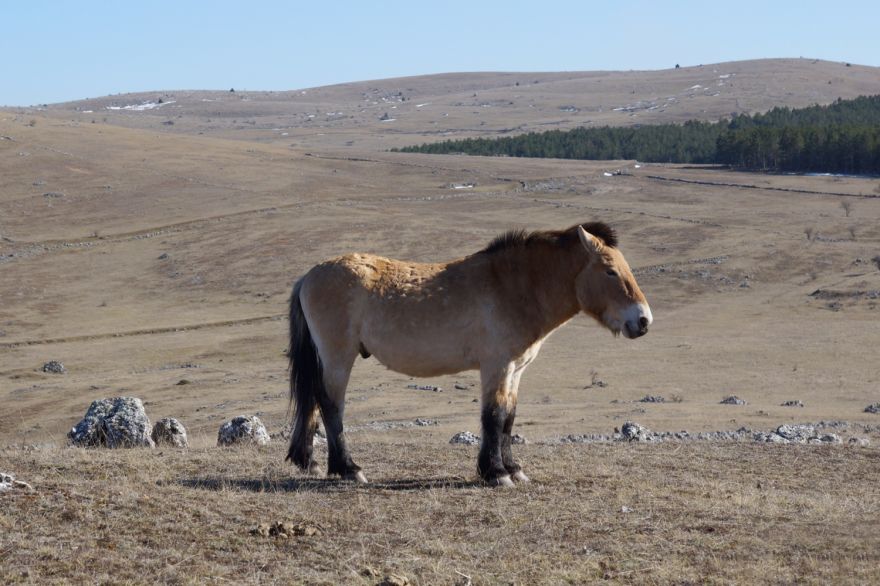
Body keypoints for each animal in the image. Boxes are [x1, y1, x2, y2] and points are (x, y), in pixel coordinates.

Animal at [286, 219, 648, 484]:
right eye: (610, 270)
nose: (643, 320)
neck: (513, 287)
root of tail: (308, 276)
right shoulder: (496, 366)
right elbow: (494, 416)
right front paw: (496, 473)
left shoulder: (514, 370)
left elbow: (508, 417)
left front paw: (513, 469)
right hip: (338, 357)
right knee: (331, 405)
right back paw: (349, 469)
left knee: (316, 402)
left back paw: (312, 462)